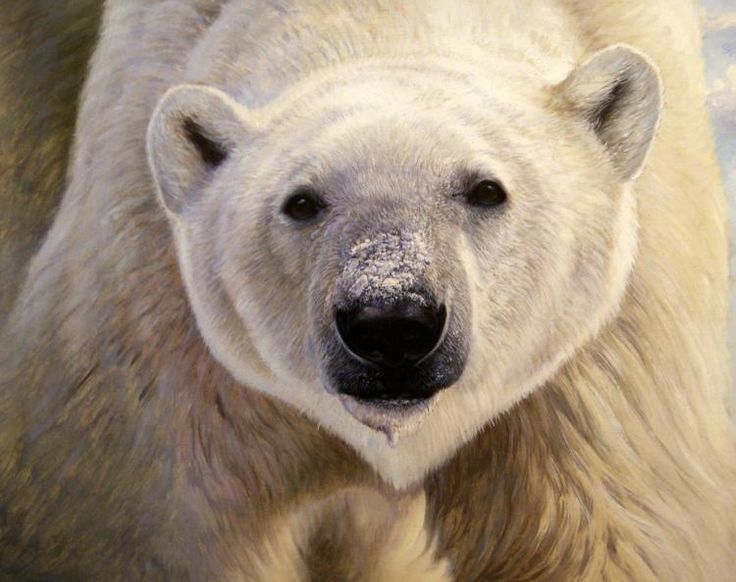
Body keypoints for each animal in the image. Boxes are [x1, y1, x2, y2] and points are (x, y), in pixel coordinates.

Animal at [1, 0, 734, 580]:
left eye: (486, 189)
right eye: (301, 201)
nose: (392, 323)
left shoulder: (604, 371)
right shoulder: (156, 342)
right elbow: (147, 525)